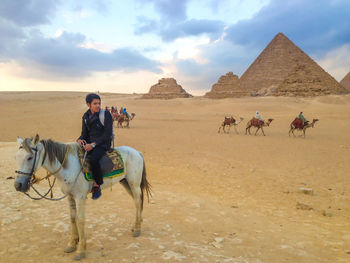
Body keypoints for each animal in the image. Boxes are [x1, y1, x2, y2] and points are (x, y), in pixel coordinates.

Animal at [14, 136, 151, 262]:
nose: (18, 185)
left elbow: (80, 220)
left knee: (138, 201)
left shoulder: (80, 197)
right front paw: (72, 244)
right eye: (16, 157)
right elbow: (72, 218)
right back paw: (136, 224)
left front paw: (81, 250)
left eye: (30, 157)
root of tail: (137, 152)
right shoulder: (70, 196)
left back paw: (137, 230)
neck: (68, 167)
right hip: (125, 182)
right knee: (137, 201)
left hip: (133, 183)